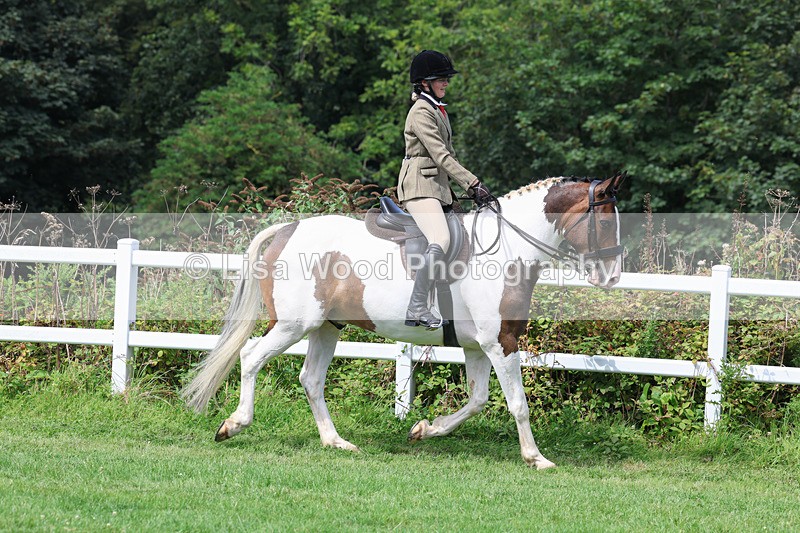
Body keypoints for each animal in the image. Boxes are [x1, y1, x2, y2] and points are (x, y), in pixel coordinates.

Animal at [182, 174, 626, 469]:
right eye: (605, 222)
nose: (612, 278)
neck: (506, 250)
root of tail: (288, 229)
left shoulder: (477, 346)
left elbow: (478, 400)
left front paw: (425, 430)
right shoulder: (500, 341)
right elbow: (517, 402)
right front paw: (536, 458)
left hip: (326, 328)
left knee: (310, 379)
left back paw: (335, 442)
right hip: (294, 325)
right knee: (251, 357)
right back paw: (234, 424)